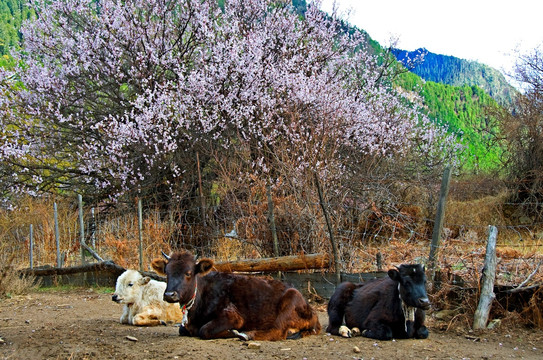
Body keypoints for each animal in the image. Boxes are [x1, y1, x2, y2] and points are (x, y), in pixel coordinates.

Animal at [151, 250, 320, 340]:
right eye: (167, 272)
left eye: (188, 273)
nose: (170, 294)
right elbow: (182, 329)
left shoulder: (233, 316)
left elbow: (204, 330)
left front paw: (231, 332)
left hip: (289, 303)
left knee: (278, 331)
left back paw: (246, 334)